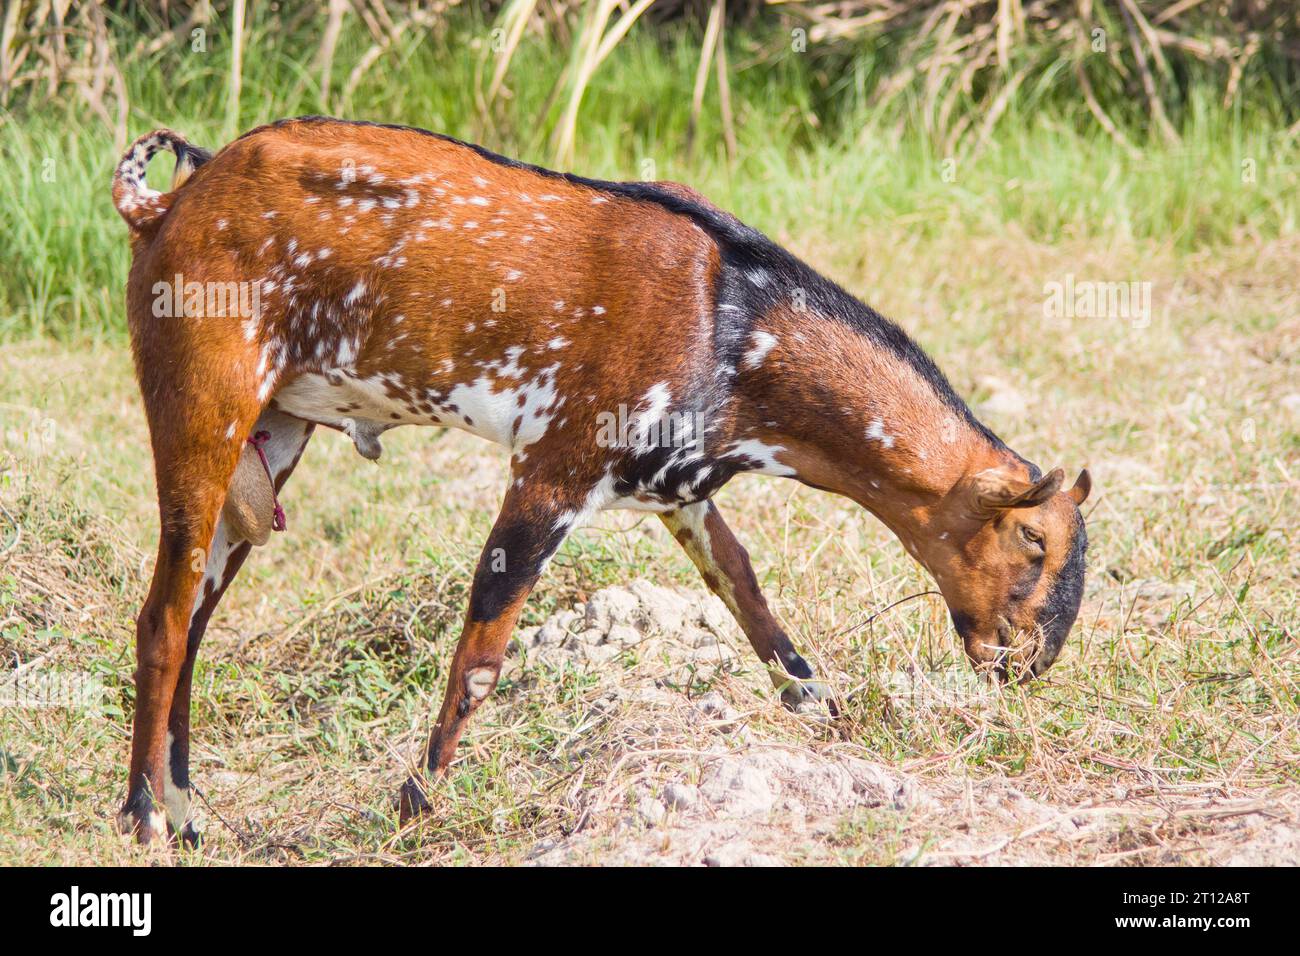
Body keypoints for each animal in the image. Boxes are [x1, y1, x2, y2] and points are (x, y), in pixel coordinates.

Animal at [111, 119, 1092, 842]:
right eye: (1033, 540)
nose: (1030, 662)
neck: (737, 320)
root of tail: (167, 202)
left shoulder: (681, 491)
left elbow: (753, 602)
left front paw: (835, 721)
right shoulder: (553, 472)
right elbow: (482, 657)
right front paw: (416, 804)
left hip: (273, 437)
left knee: (195, 619)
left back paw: (188, 813)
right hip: (203, 405)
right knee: (161, 616)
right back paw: (143, 816)